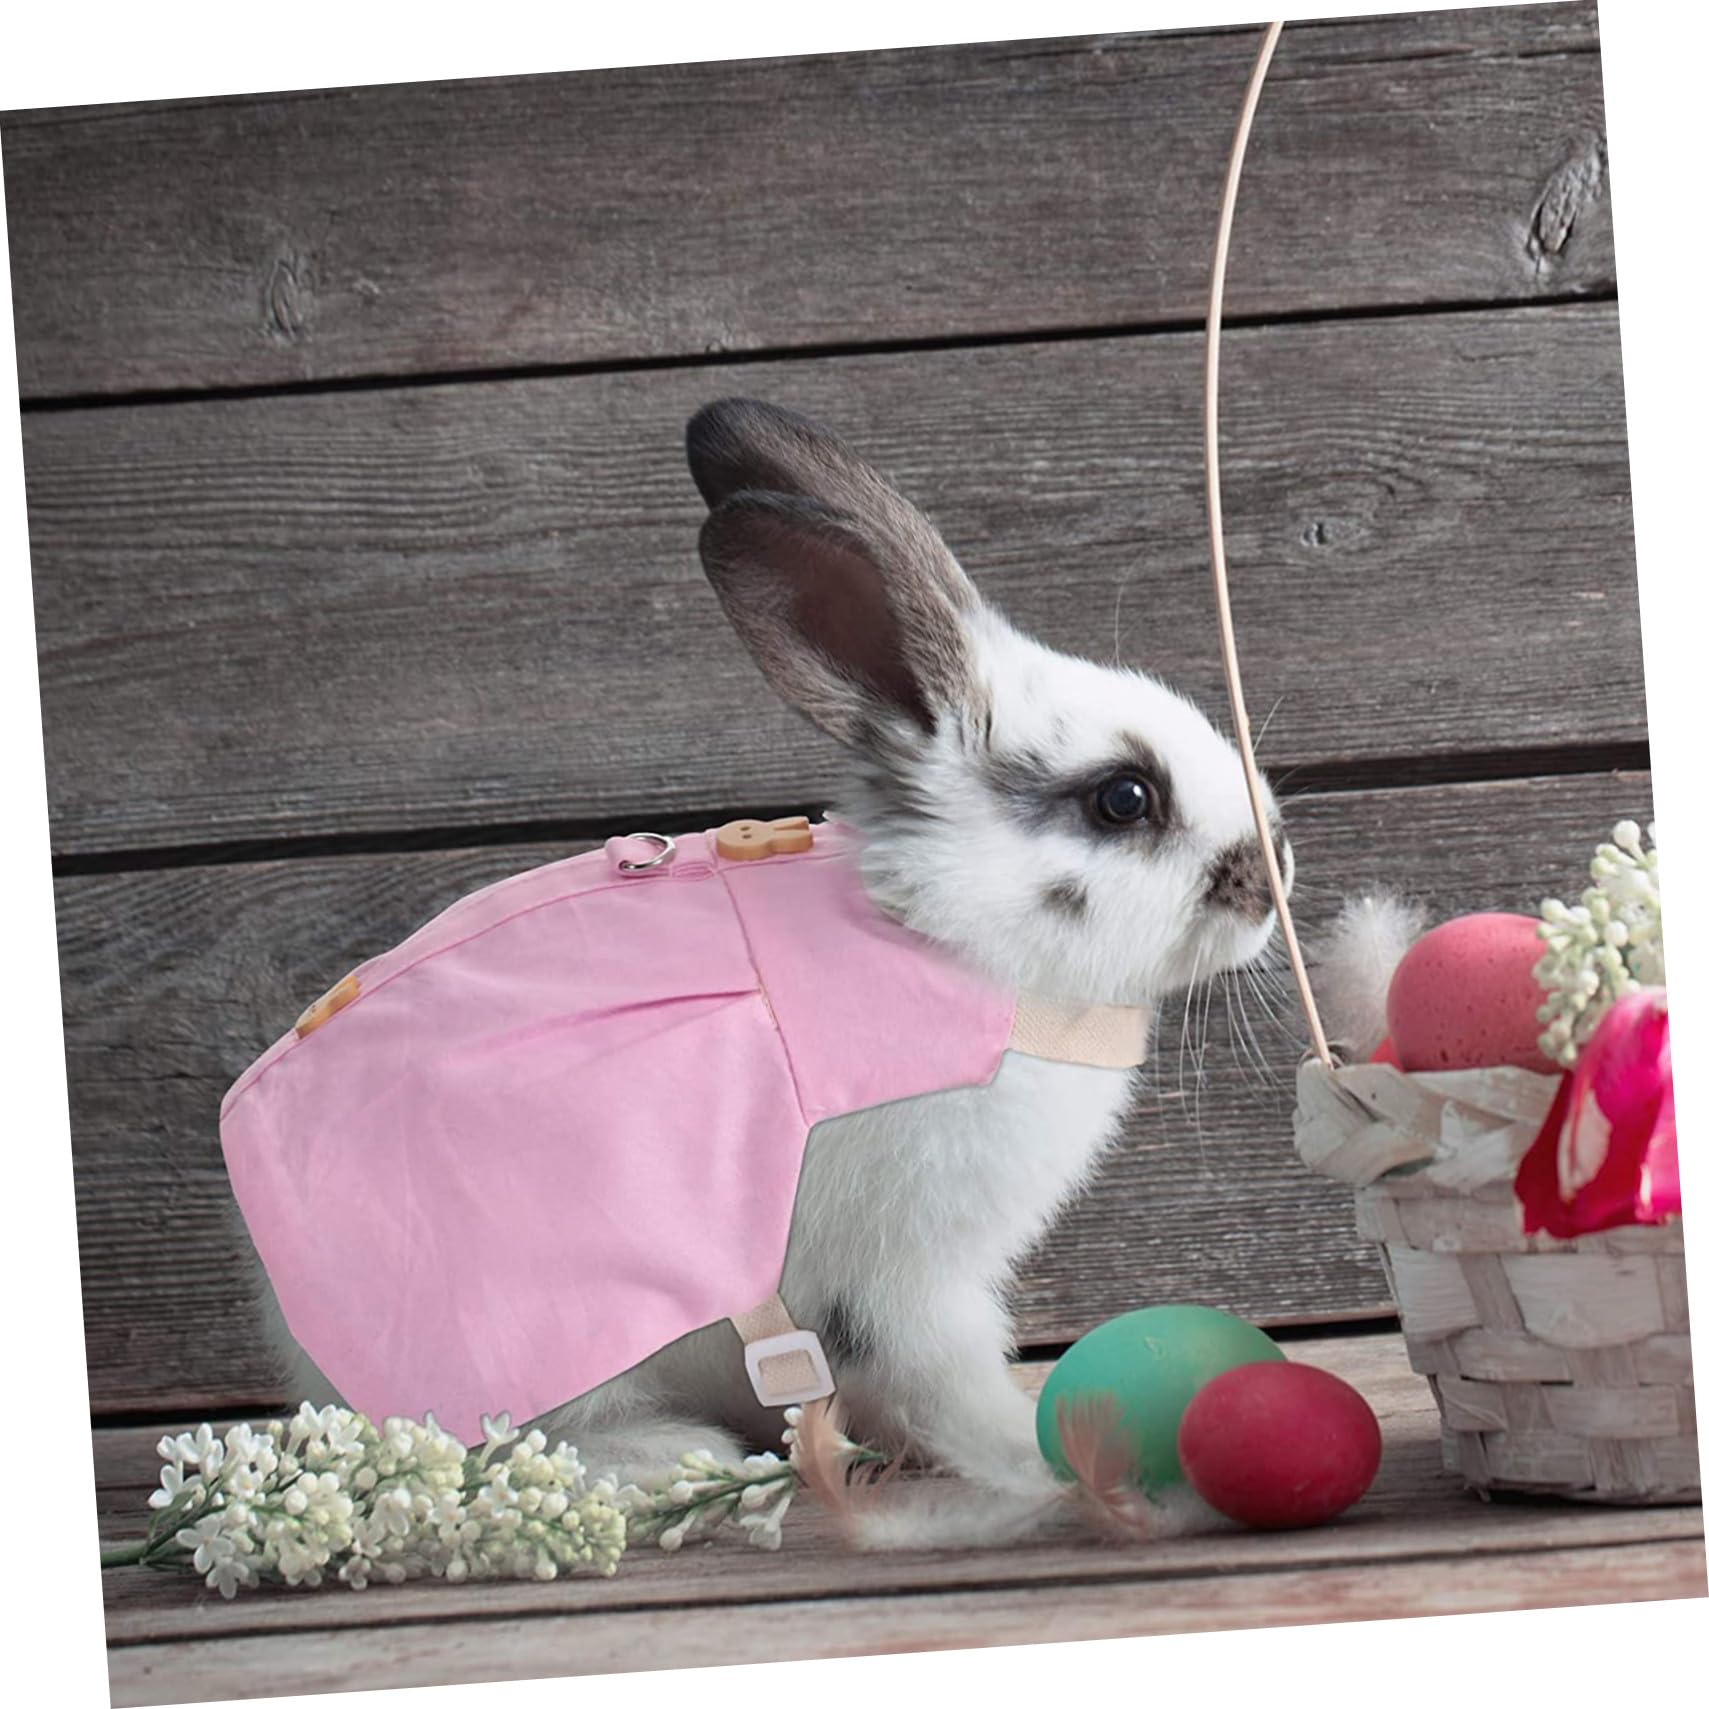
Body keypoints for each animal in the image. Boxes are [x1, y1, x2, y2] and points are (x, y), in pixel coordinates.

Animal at [249, 396, 1292, 1549]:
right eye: (1122, 798)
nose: (1271, 871)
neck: (949, 934)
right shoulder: (904, 1280)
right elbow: (948, 1384)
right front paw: (1035, 1461)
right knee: (513, 1452)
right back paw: (688, 1464)